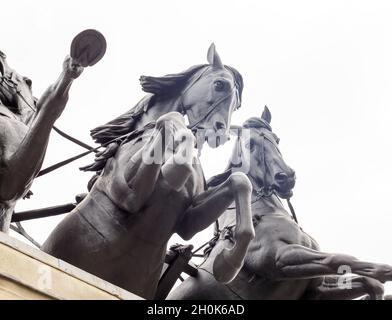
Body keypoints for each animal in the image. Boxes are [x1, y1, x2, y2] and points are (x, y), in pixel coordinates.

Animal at [41, 45, 256, 300]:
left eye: (238, 105)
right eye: (219, 84)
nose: (220, 133)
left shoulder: (187, 224)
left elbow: (240, 181)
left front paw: (227, 263)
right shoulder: (126, 194)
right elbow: (172, 120)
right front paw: (174, 168)